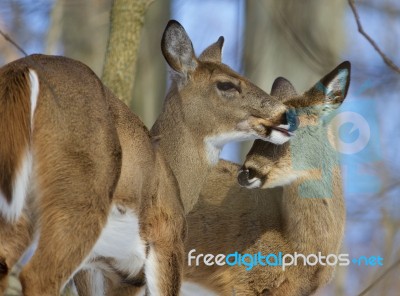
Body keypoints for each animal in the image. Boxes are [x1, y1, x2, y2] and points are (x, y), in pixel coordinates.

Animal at [0, 19, 294, 294]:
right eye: (226, 84)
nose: (285, 114)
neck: (173, 174)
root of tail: (22, 72)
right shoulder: (166, 239)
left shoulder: (103, 269)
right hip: (79, 196)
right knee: (38, 275)